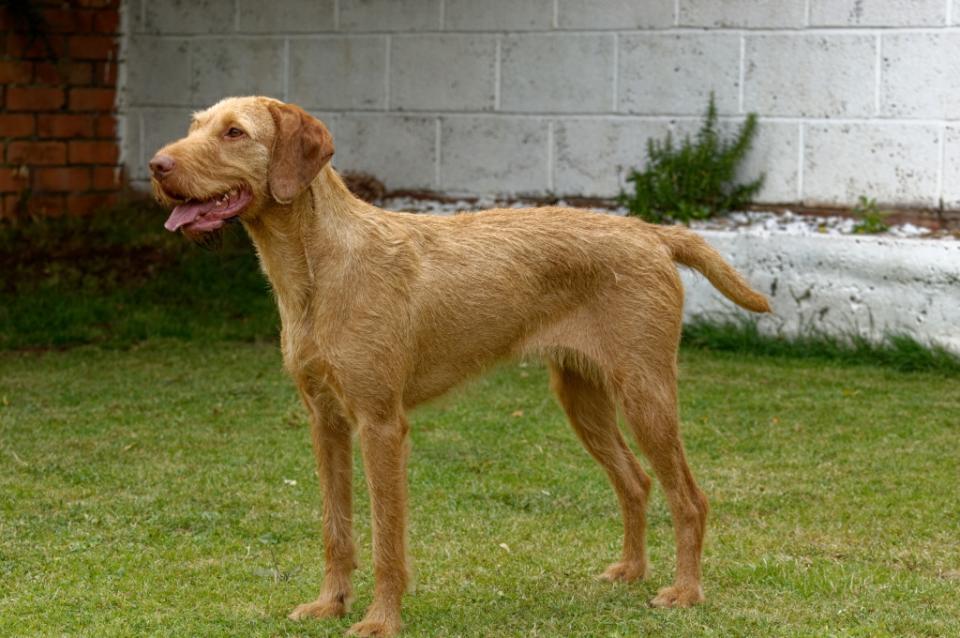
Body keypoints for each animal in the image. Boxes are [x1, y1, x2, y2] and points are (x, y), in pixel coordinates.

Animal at [152, 97, 772, 636]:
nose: (157, 165)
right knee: (636, 481)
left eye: (235, 132)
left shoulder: (381, 425)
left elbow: (386, 538)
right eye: (197, 125)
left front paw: (380, 621)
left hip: (645, 392)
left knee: (689, 497)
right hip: (582, 397)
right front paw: (330, 604)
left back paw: (685, 592)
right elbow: (336, 528)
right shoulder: (325, 421)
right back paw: (630, 572)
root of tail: (651, 232)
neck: (318, 268)